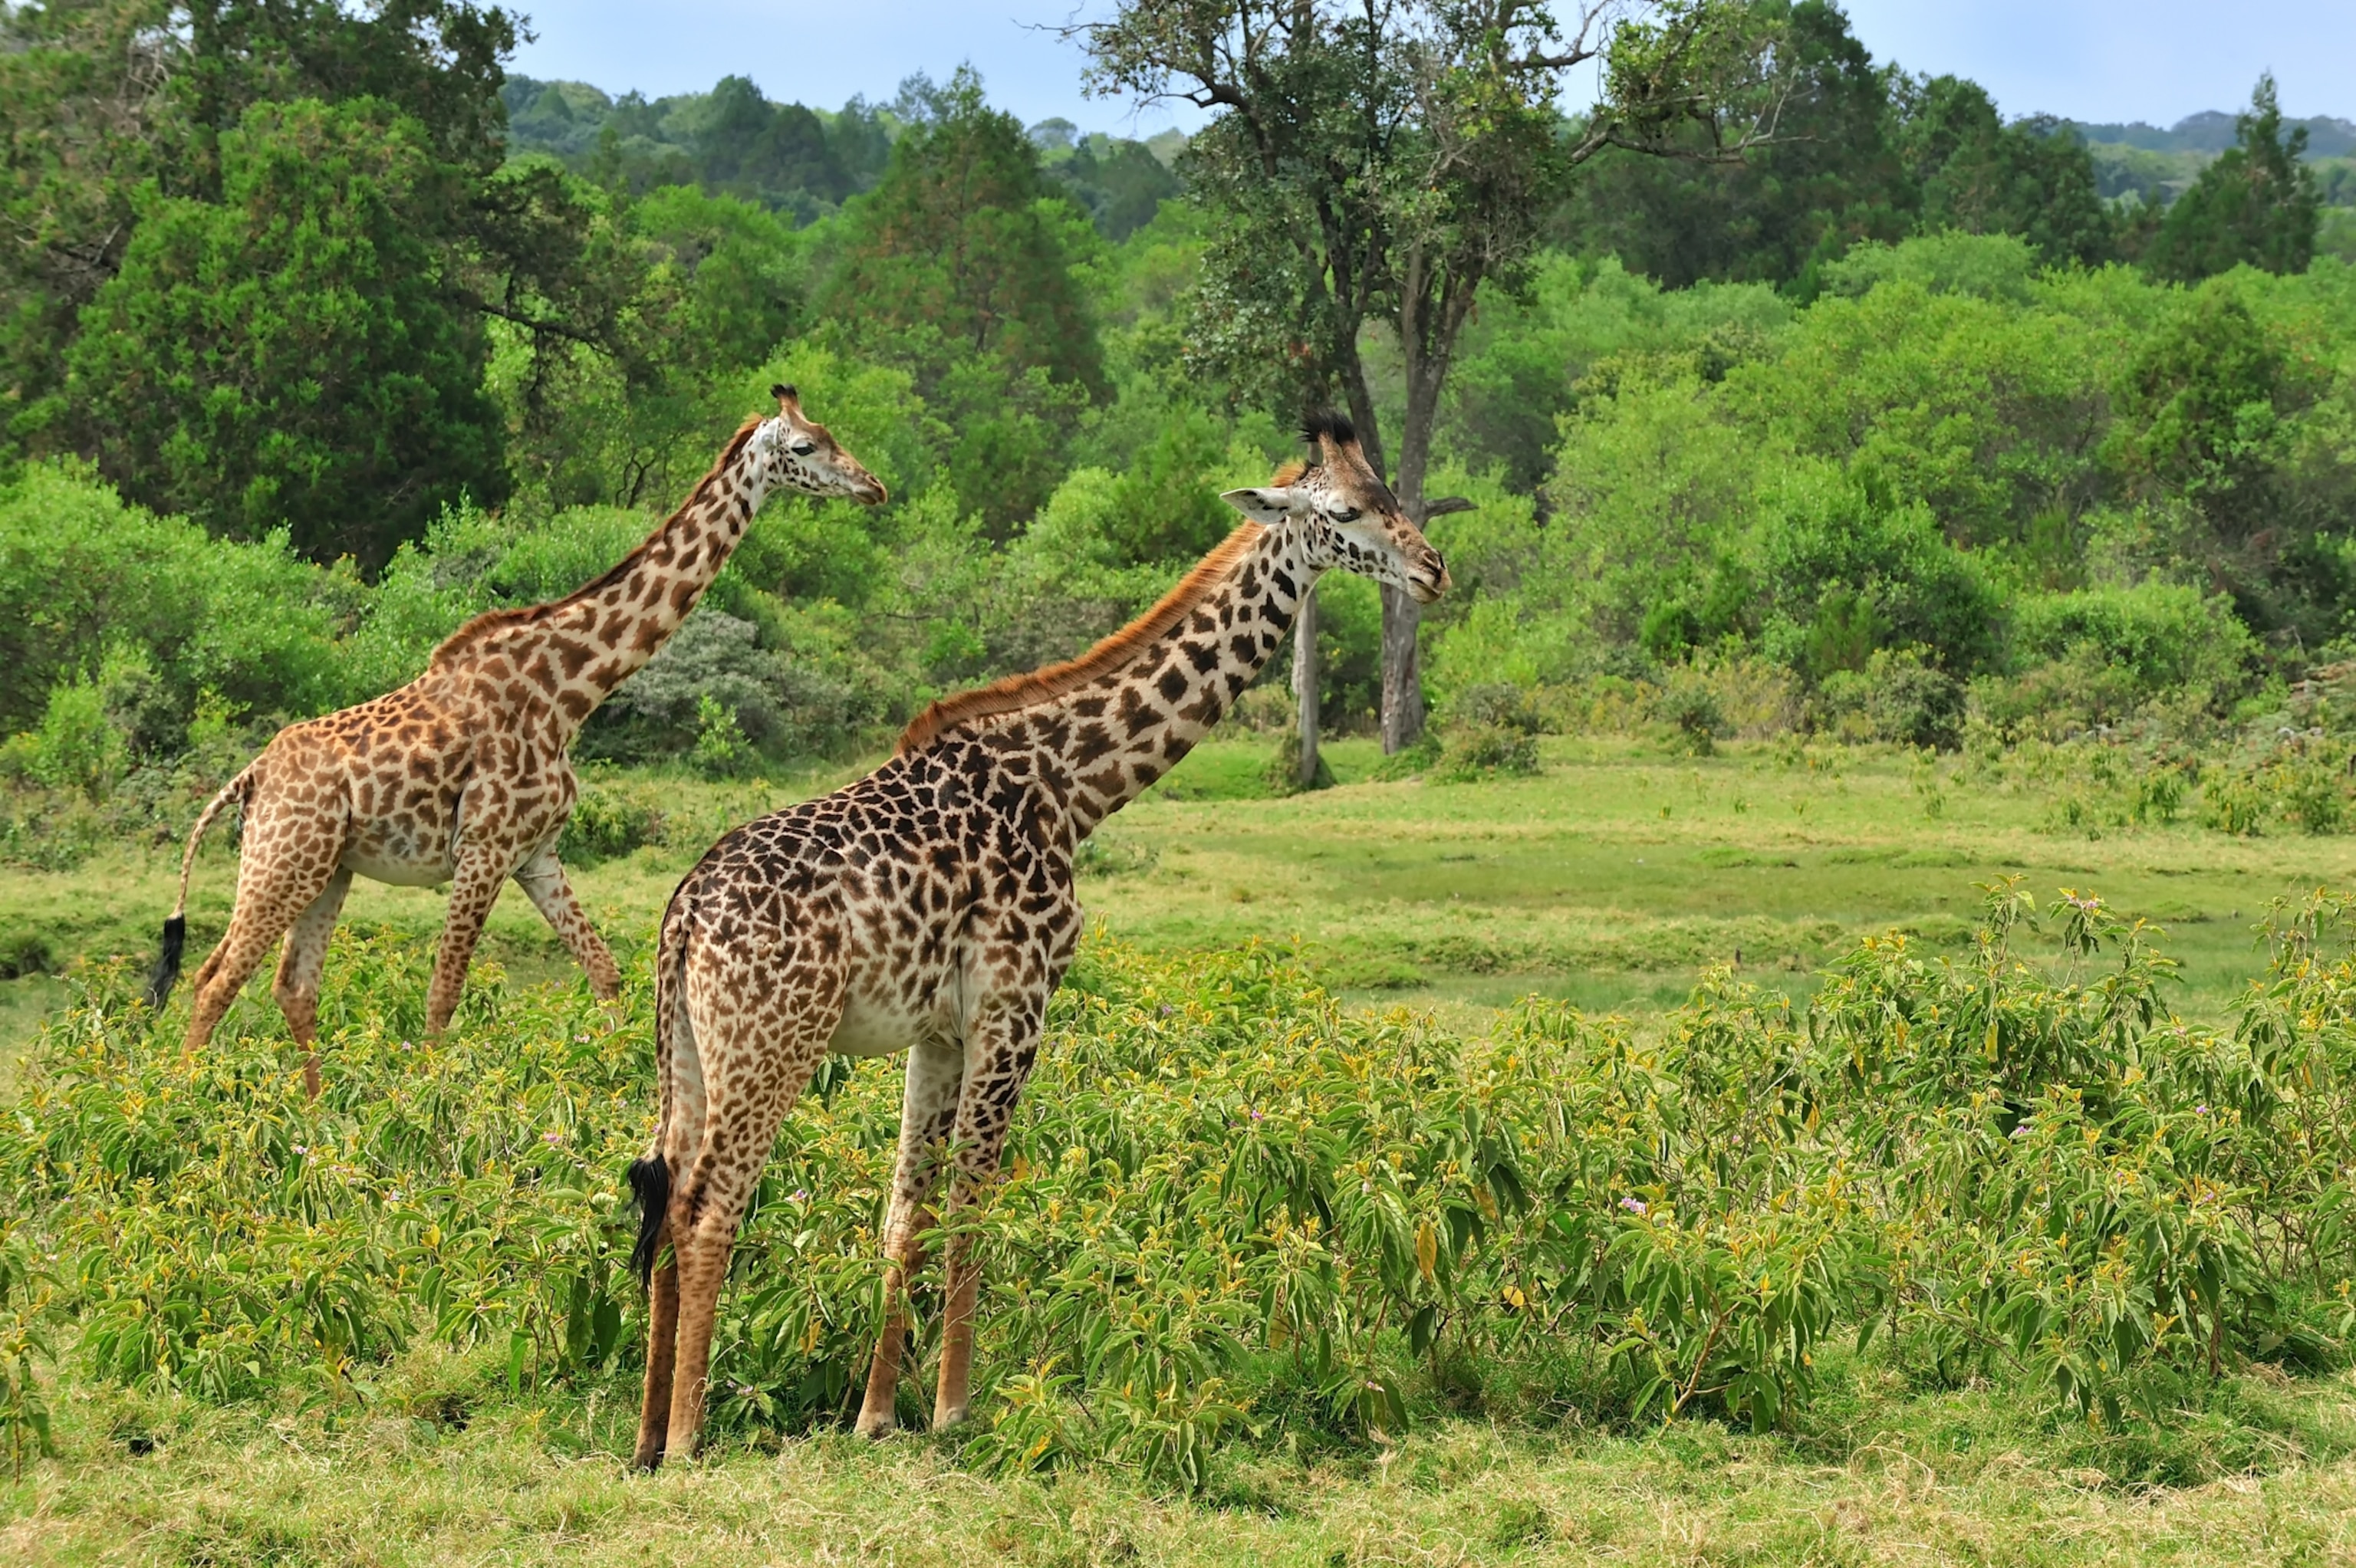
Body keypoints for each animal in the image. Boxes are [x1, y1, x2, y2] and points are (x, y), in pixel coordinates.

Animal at [148, 387, 885, 1097]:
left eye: (833, 434)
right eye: (805, 446)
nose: (873, 487)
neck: (568, 694)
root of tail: (249, 778)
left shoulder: (536, 853)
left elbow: (605, 972)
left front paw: (615, 1083)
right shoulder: (483, 846)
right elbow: (444, 991)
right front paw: (427, 1106)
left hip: (329, 868)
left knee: (291, 985)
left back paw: (315, 1109)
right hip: (282, 860)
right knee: (216, 977)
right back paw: (180, 1101)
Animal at [624, 411, 1447, 1468]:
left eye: (1389, 494)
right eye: (1346, 513)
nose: (1431, 568)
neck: (1075, 783)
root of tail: (682, 917)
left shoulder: (938, 1030)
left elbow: (906, 1210)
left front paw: (876, 1415)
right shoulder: (1017, 1002)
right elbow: (975, 1200)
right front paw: (955, 1409)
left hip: (689, 1048)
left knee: (663, 1193)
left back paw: (647, 1434)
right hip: (774, 1041)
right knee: (707, 1204)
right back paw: (690, 1437)